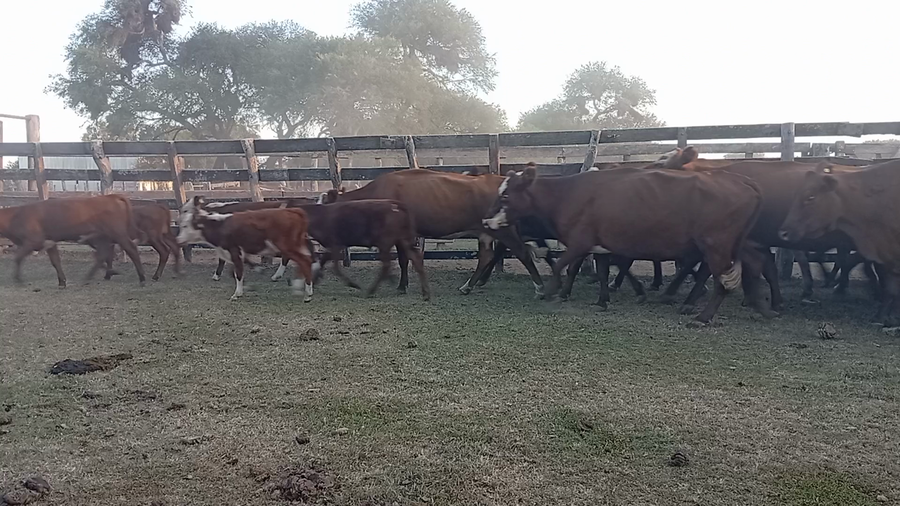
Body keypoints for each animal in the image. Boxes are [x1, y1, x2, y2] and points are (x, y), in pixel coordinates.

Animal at [0, 195, 147, 287]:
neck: (16, 215)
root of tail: (111, 196)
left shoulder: (32, 241)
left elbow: (18, 258)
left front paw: (18, 279)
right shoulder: (50, 242)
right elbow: (56, 262)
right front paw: (62, 281)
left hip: (118, 234)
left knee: (131, 249)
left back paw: (141, 278)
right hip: (105, 237)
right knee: (103, 255)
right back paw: (101, 274)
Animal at [176, 196, 315, 301]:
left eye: (185, 225)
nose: (178, 240)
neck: (220, 224)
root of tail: (294, 211)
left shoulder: (233, 250)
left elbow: (238, 272)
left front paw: (236, 293)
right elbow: (238, 267)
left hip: (288, 246)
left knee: (304, 261)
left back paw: (307, 293)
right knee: (306, 259)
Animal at [321, 168, 546, 297]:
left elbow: (404, 259)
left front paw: (401, 286)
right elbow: (404, 259)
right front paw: (403, 284)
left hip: (502, 230)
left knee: (522, 253)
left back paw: (539, 288)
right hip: (487, 231)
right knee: (486, 256)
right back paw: (469, 286)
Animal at [482, 165, 769, 323]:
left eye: (505, 196)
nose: (486, 220)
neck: (567, 194)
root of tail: (742, 180)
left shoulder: (579, 242)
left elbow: (560, 265)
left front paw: (550, 292)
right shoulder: (599, 245)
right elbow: (602, 271)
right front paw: (602, 300)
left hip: (716, 245)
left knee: (721, 280)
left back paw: (703, 316)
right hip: (735, 244)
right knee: (753, 264)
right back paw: (759, 306)